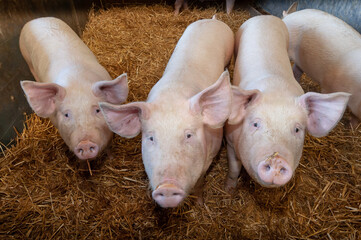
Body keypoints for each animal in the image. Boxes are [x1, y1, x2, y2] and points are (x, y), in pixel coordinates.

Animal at [19, 17, 129, 160]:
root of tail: (37, 19)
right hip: (27, 60)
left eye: (97, 110)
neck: (77, 82)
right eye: (66, 114)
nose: (85, 143)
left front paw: (111, 159)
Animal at [99, 18, 233, 207]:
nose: (167, 187)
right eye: (150, 138)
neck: (173, 96)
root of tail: (212, 19)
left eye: (189, 135)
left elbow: (200, 183)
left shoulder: (210, 156)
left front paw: (200, 204)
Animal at [224, 15, 350, 191]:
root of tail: (265, 16)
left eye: (297, 129)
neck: (277, 91)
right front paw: (229, 190)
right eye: (255, 124)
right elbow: (234, 169)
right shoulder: (229, 140)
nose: (277, 160)